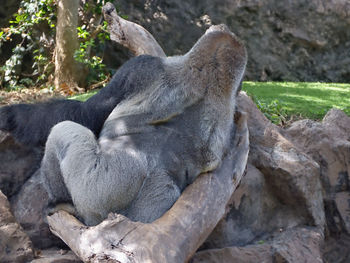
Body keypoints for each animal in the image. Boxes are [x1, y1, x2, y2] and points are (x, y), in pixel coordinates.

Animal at [41, 27, 247, 227]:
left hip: (97, 192)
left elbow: (82, 113)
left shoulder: (140, 66)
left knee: (63, 131)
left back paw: (61, 202)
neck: (211, 72)